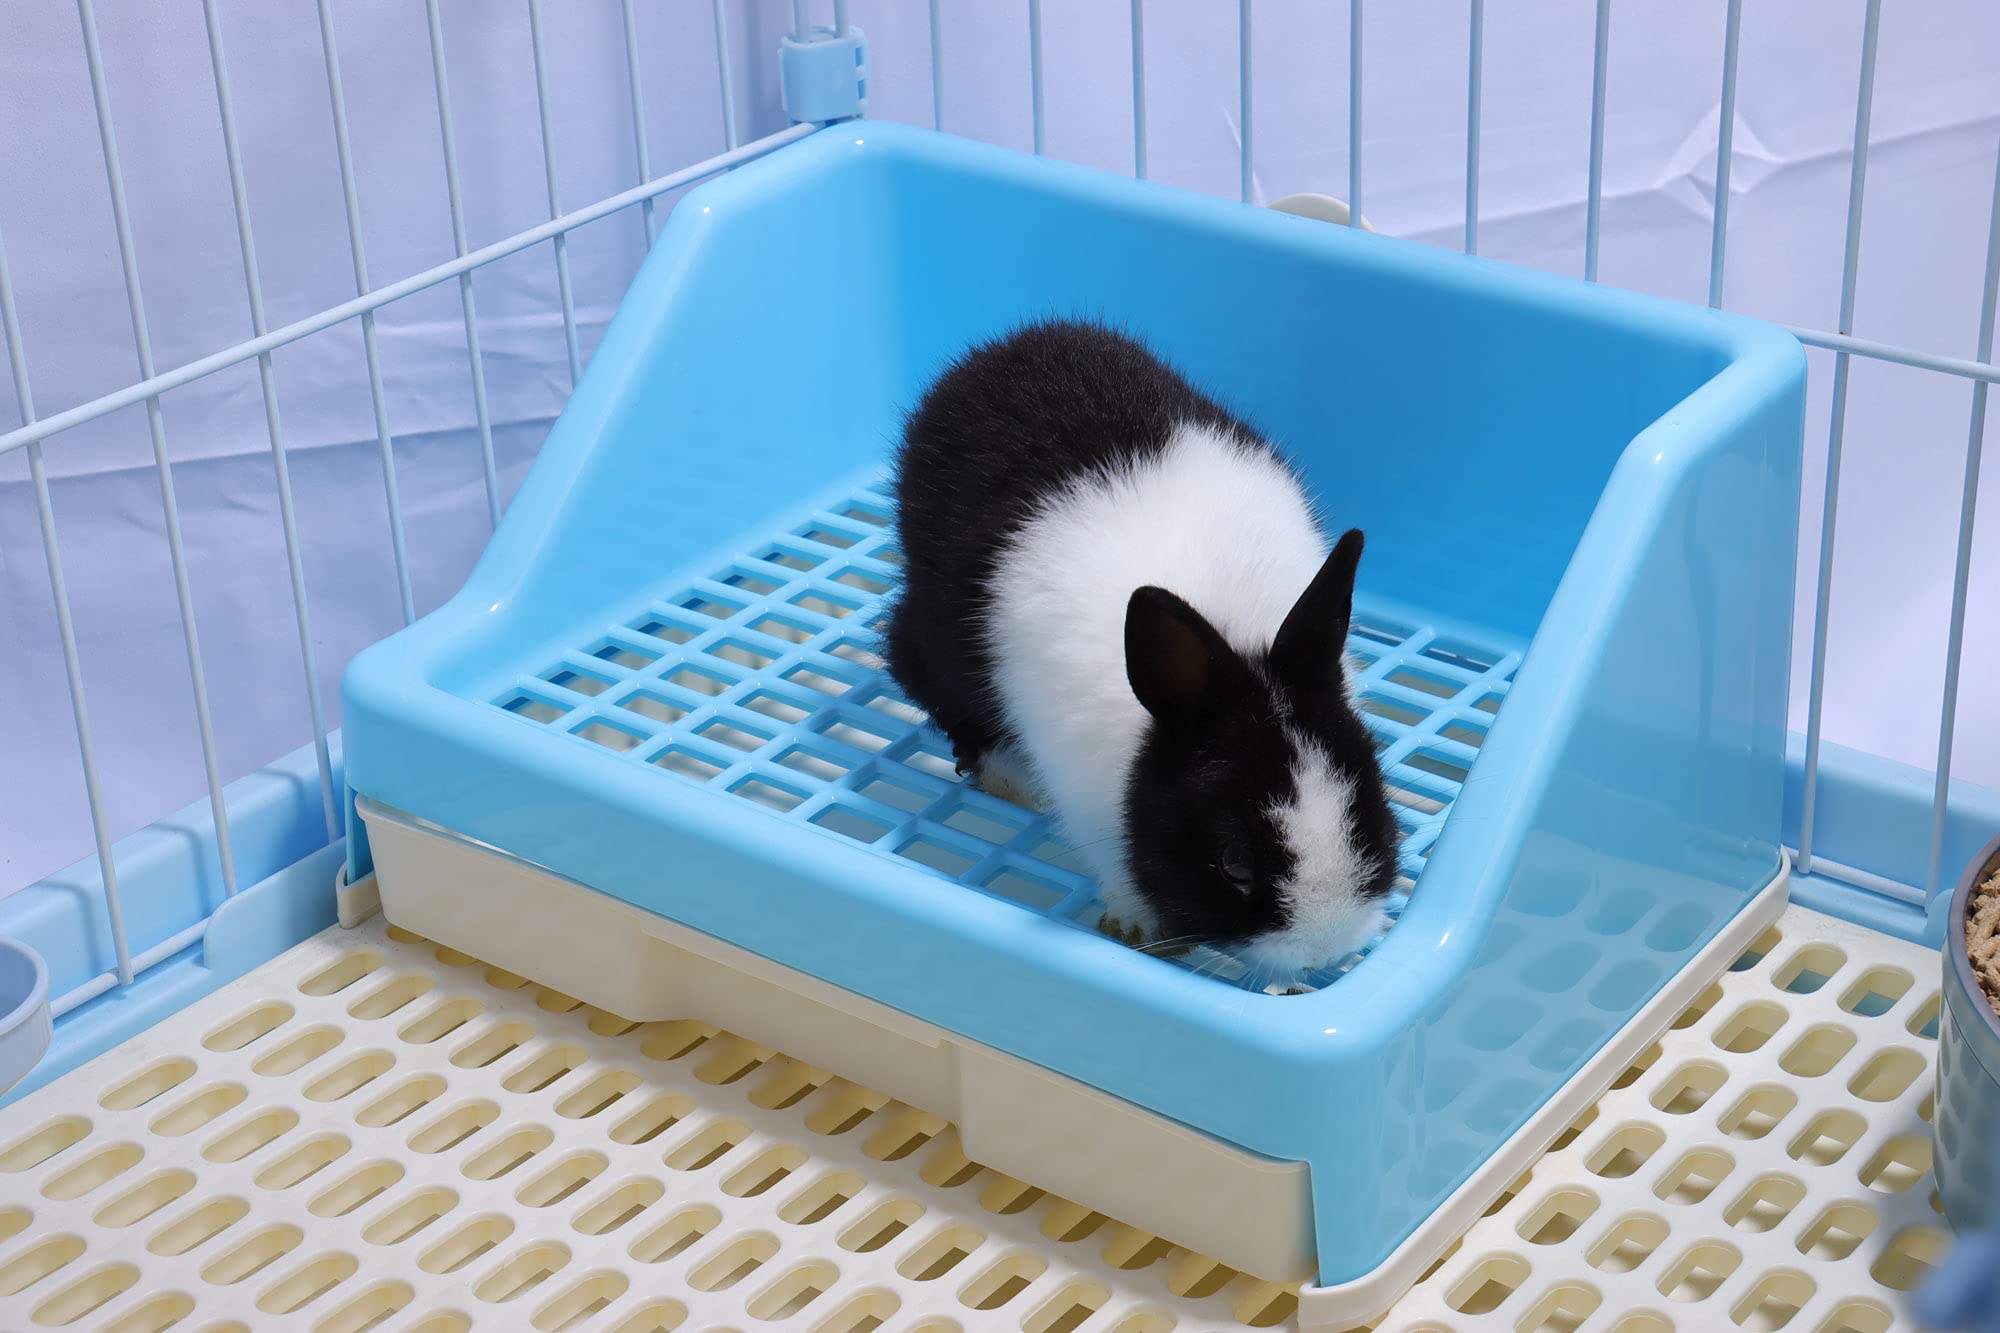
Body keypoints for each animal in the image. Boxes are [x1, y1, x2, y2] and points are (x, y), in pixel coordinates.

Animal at [883, 319, 1401, 979]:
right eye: (1233, 862)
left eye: (1368, 814)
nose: (1326, 948)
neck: (1236, 642)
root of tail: (1000, 349)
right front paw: (1135, 924)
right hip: (939, 635)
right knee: (916, 668)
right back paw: (1009, 775)